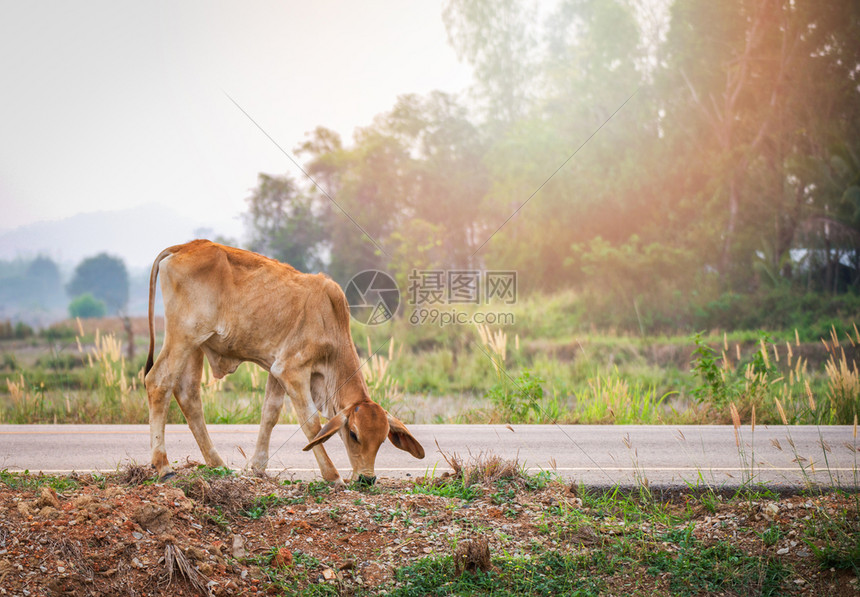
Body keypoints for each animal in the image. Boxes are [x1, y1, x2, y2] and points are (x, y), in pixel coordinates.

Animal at [143, 240, 424, 482]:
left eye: (382, 440)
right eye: (354, 434)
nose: (367, 479)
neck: (329, 320)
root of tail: (183, 247)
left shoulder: (275, 369)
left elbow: (270, 413)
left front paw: (257, 467)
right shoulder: (292, 370)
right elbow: (311, 424)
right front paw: (333, 476)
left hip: (196, 346)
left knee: (188, 395)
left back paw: (217, 464)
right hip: (183, 337)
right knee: (158, 382)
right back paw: (164, 466)